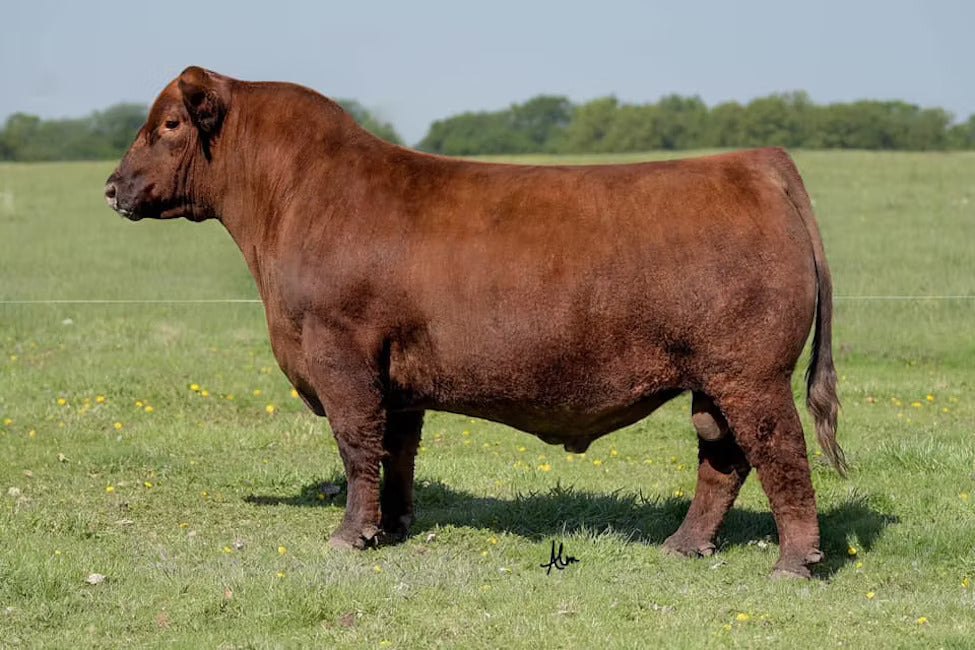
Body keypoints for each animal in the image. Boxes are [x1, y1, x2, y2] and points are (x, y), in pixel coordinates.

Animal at [105, 67, 846, 579]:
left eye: (169, 124)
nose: (111, 187)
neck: (296, 199)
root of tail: (754, 161)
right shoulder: (395, 377)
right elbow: (396, 449)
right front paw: (393, 526)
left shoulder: (340, 355)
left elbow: (356, 444)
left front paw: (350, 536)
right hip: (714, 380)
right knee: (722, 456)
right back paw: (685, 545)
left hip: (750, 374)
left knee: (779, 449)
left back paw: (793, 562)